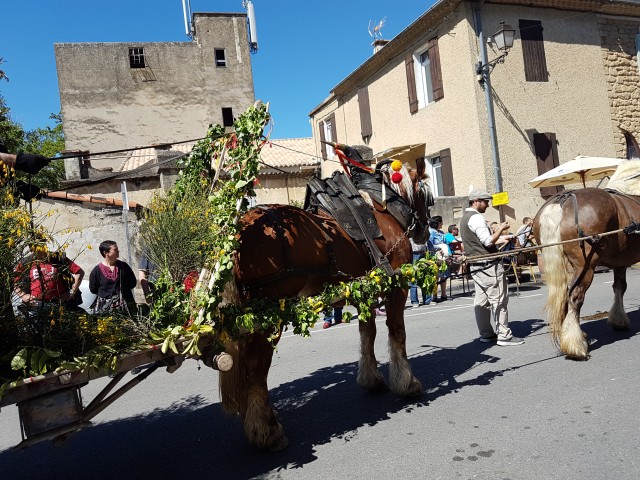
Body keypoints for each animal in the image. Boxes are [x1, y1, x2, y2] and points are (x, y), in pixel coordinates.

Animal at [219, 147, 430, 450]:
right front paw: (407, 382)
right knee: (255, 367)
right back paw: (267, 431)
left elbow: (367, 332)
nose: (425, 230)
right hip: (269, 315)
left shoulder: (364, 289)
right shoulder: (397, 286)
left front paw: (371, 379)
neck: (383, 210)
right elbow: (397, 333)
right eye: (425, 193)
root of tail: (239, 233)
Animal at [532, 182, 640, 358]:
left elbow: (619, 287)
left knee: (564, 296)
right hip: (586, 266)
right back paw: (575, 345)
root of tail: (564, 199)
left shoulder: (620, 262)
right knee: (575, 297)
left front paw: (619, 320)